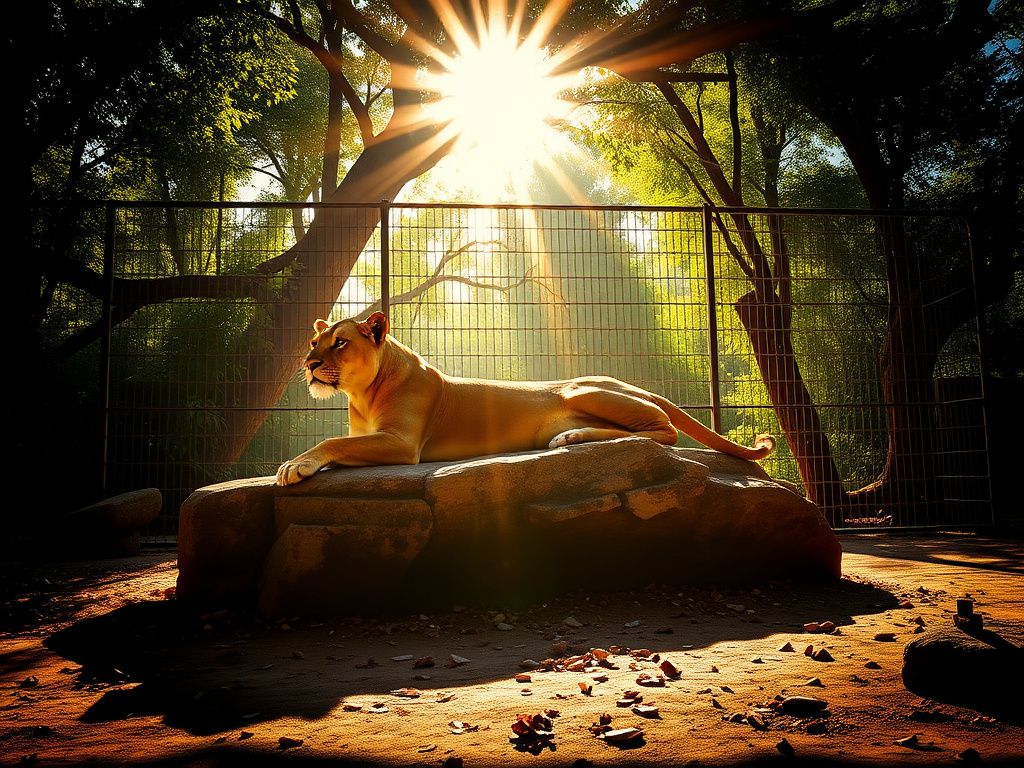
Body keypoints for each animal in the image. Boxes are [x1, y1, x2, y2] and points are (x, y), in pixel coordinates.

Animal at [275, 312, 775, 486]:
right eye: (316, 342)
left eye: (340, 342)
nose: (309, 363)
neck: (360, 394)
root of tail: (637, 385)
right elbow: (342, 441)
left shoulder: (403, 444)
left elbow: (334, 443)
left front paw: (294, 465)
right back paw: (570, 438)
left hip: (584, 388)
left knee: (664, 432)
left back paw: (574, 438)